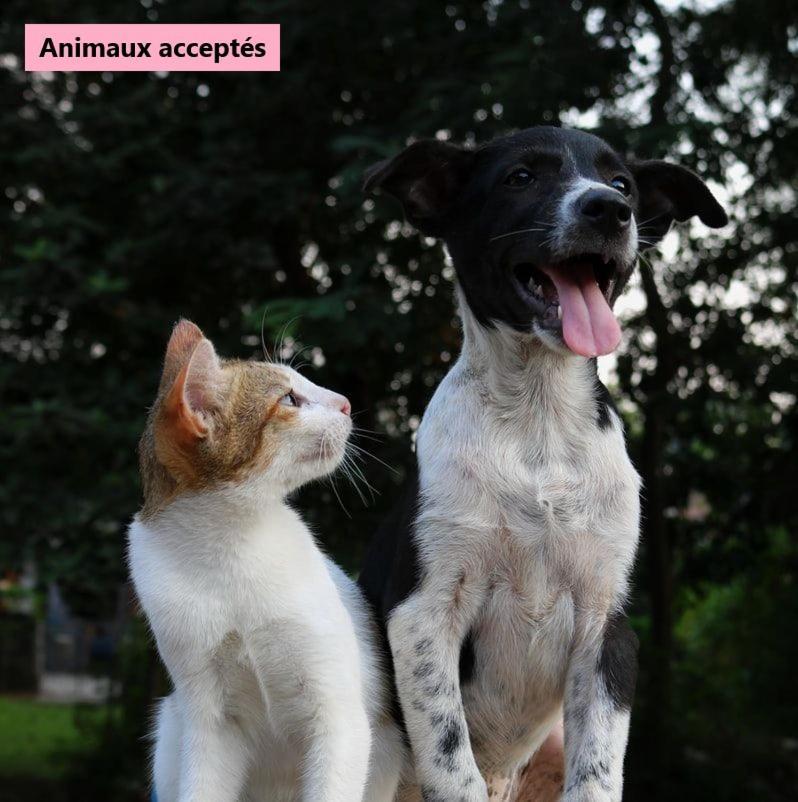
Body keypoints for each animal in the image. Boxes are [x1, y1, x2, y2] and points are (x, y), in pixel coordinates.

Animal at [127, 318, 404, 800]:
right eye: (289, 399)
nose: (346, 403)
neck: (231, 548)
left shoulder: (339, 717)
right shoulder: (211, 722)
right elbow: (202, 788)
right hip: (172, 726)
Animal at [360, 125, 728, 800]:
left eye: (622, 184)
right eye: (521, 177)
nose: (609, 211)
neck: (540, 424)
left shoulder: (608, 629)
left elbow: (597, 774)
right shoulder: (423, 617)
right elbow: (451, 763)